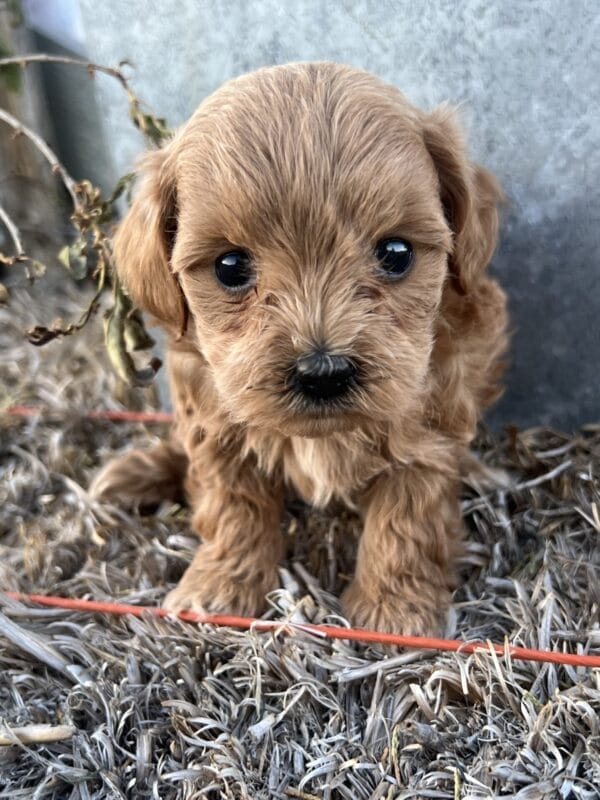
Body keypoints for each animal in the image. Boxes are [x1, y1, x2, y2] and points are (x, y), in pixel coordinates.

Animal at [94, 62, 506, 636]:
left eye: (396, 252)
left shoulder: (430, 427)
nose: (323, 370)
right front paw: (219, 588)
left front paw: (396, 609)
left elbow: (407, 519)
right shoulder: (215, 427)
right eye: (229, 267)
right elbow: (232, 508)